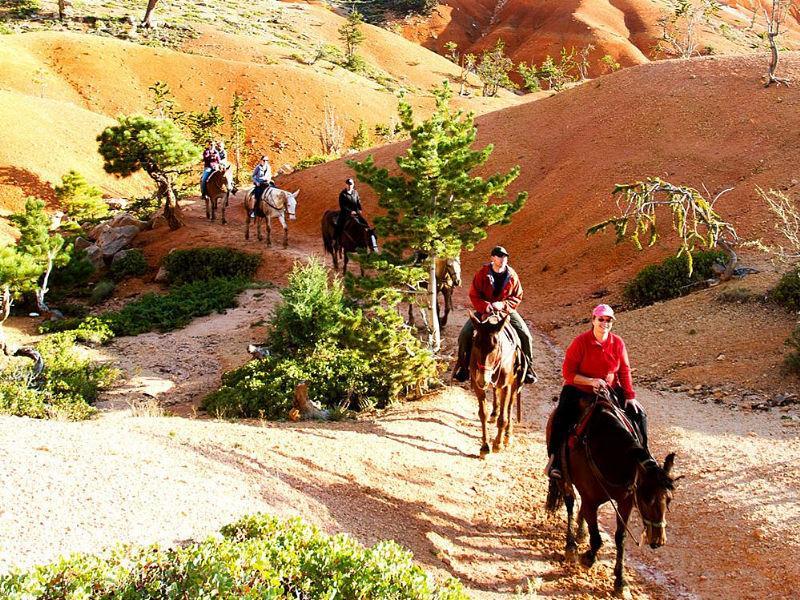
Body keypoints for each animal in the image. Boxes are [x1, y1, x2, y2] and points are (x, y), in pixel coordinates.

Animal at [468, 312, 524, 458]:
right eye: (475, 344)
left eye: (495, 347)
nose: (482, 379)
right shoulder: (477, 386)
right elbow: (483, 414)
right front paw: (485, 446)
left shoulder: (506, 386)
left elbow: (503, 418)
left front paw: (498, 444)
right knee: (494, 392)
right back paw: (494, 413)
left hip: (514, 382)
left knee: (510, 406)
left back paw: (508, 435)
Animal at [544, 390, 676, 596]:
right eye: (646, 498)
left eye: (668, 499)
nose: (658, 539)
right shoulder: (591, 500)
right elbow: (597, 538)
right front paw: (588, 558)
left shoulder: (625, 502)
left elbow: (620, 538)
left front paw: (620, 582)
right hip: (562, 478)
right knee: (570, 503)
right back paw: (571, 546)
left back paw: (581, 534)